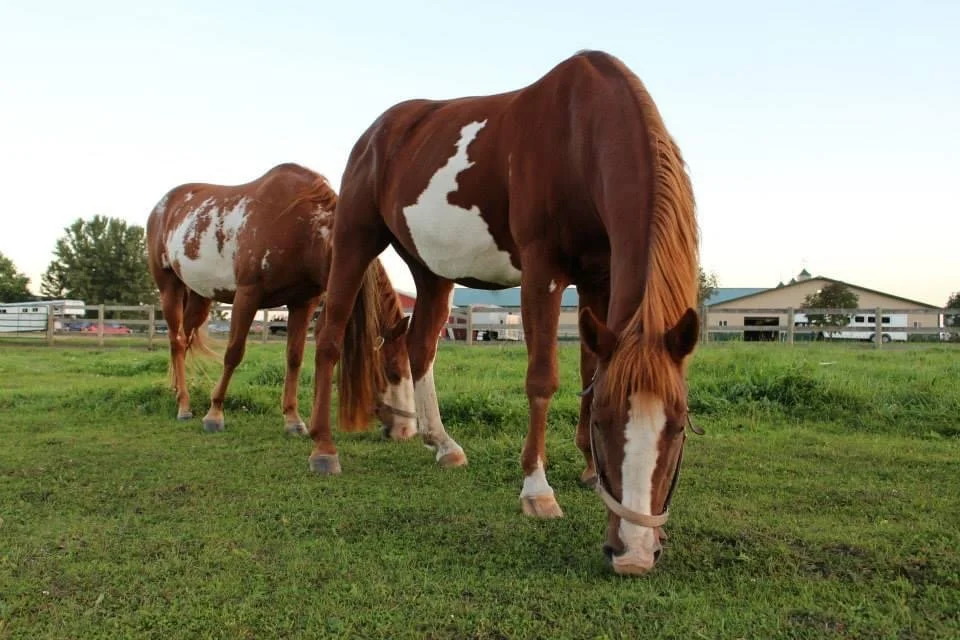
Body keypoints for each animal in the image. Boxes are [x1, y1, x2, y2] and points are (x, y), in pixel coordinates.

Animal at [145, 162, 417, 443]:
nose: (407, 431)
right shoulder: (247, 295)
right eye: (392, 371)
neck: (302, 229)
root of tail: (163, 206)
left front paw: (293, 420)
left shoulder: (303, 302)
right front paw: (214, 414)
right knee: (177, 341)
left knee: (185, 338)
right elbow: (233, 353)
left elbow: (294, 358)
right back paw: (184, 405)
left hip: (201, 296)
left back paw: (176, 390)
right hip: (169, 287)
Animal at [307, 49, 701, 574]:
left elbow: (591, 369)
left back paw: (443, 444)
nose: (633, 555)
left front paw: (589, 471)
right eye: (605, 422)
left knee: (420, 346)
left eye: (677, 428)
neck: (579, 134)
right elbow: (542, 379)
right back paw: (323, 449)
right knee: (330, 339)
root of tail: (377, 133)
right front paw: (537, 490)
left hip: (431, 269)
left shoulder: (600, 277)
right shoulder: (542, 272)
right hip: (355, 239)